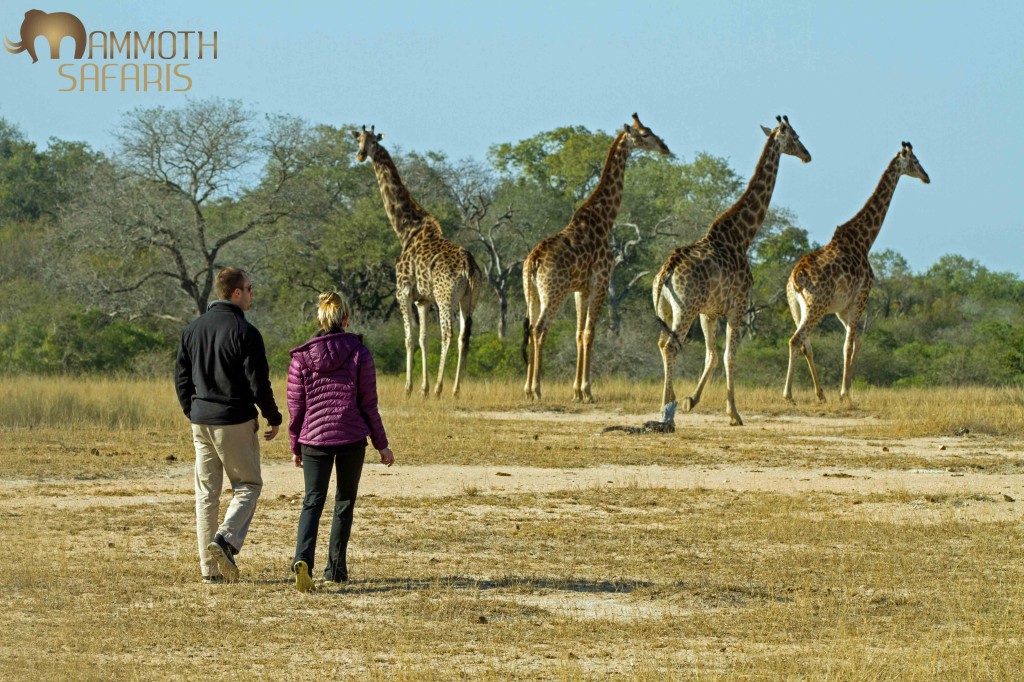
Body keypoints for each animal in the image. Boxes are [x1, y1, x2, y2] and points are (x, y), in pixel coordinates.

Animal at [352, 125, 482, 397]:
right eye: (359, 140)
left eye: (372, 141)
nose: (360, 155)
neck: (406, 229)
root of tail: (469, 266)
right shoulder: (423, 299)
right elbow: (423, 338)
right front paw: (423, 388)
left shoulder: (403, 291)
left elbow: (409, 337)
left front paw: (409, 388)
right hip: (469, 298)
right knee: (464, 335)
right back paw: (455, 389)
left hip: (446, 296)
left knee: (448, 333)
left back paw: (441, 388)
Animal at [522, 113, 672, 403]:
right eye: (645, 134)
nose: (665, 148)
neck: (605, 219)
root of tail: (533, 262)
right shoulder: (600, 283)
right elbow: (590, 334)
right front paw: (587, 391)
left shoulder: (581, 289)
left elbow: (579, 334)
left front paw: (576, 391)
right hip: (553, 291)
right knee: (540, 328)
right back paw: (536, 390)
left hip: (531, 292)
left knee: (531, 327)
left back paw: (526, 389)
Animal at [653, 115, 811, 426]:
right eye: (796, 137)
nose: (807, 155)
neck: (742, 236)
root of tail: (667, 271)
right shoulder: (737, 306)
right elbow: (729, 356)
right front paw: (734, 413)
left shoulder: (710, 311)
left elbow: (712, 356)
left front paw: (690, 400)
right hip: (685, 308)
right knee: (670, 346)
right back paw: (666, 410)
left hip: (666, 308)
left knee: (662, 342)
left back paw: (670, 402)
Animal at [783, 142, 930, 404]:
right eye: (915, 161)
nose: (927, 177)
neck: (864, 239)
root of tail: (796, 276)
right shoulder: (862, 296)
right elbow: (848, 345)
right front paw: (844, 392)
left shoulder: (843, 308)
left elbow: (857, 342)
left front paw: (847, 390)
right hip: (817, 305)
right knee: (796, 339)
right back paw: (789, 394)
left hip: (796, 306)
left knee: (805, 343)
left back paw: (820, 393)